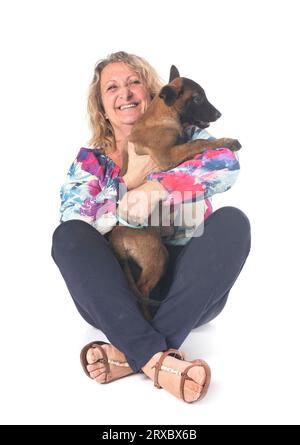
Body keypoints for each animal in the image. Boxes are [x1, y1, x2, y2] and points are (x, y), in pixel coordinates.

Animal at [109, 65, 240, 320]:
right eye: (197, 98)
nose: (218, 114)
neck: (163, 115)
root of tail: (117, 237)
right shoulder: (166, 156)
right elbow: (197, 144)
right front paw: (228, 141)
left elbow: (191, 141)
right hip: (158, 256)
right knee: (143, 288)